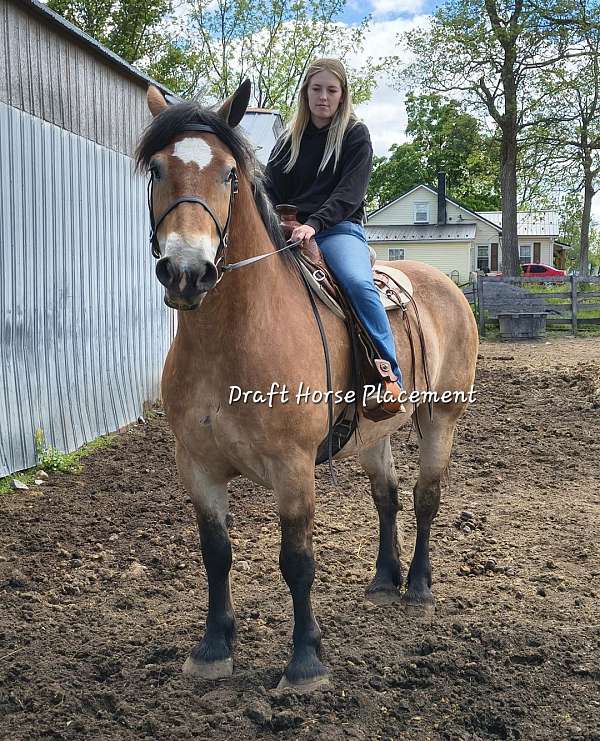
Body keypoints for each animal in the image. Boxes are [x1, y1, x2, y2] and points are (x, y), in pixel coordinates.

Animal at [135, 80, 479, 692]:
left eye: (229, 174)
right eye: (156, 168)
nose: (187, 271)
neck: (233, 338)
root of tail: (446, 285)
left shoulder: (293, 468)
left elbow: (296, 561)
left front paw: (305, 661)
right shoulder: (196, 466)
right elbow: (215, 554)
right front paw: (213, 648)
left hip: (441, 418)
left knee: (425, 496)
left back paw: (417, 585)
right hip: (374, 432)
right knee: (387, 496)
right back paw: (384, 580)